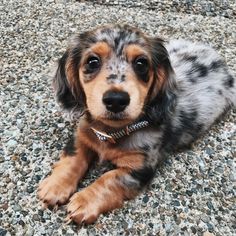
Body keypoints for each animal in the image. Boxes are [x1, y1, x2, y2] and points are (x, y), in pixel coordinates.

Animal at [37, 24, 235, 225]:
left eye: (141, 63)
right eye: (92, 62)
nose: (116, 100)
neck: (111, 132)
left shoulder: (139, 168)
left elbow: (109, 178)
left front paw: (84, 201)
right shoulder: (83, 135)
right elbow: (73, 157)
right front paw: (56, 185)